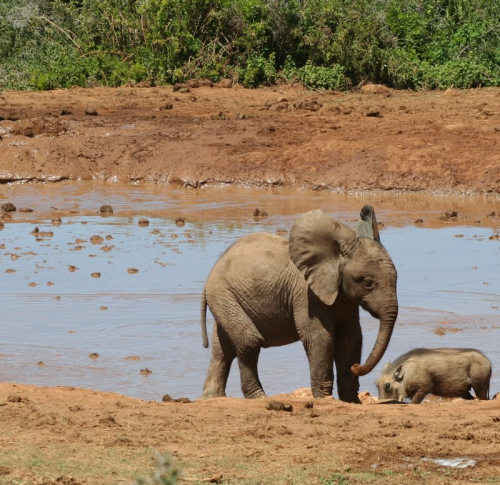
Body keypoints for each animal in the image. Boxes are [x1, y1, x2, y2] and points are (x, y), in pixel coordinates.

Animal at [199, 205, 398, 400]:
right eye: (368, 282)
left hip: (225, 300)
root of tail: (209, 277)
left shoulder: (345, 298)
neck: (336, 255)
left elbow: (351, 339)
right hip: (225, 295)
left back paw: (213, 398)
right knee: (249, 343)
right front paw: (325, 399)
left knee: (222, 350)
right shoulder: (306, 294)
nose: (356, 367)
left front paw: (351, 401)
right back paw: (259, 397)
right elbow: (320, 338)